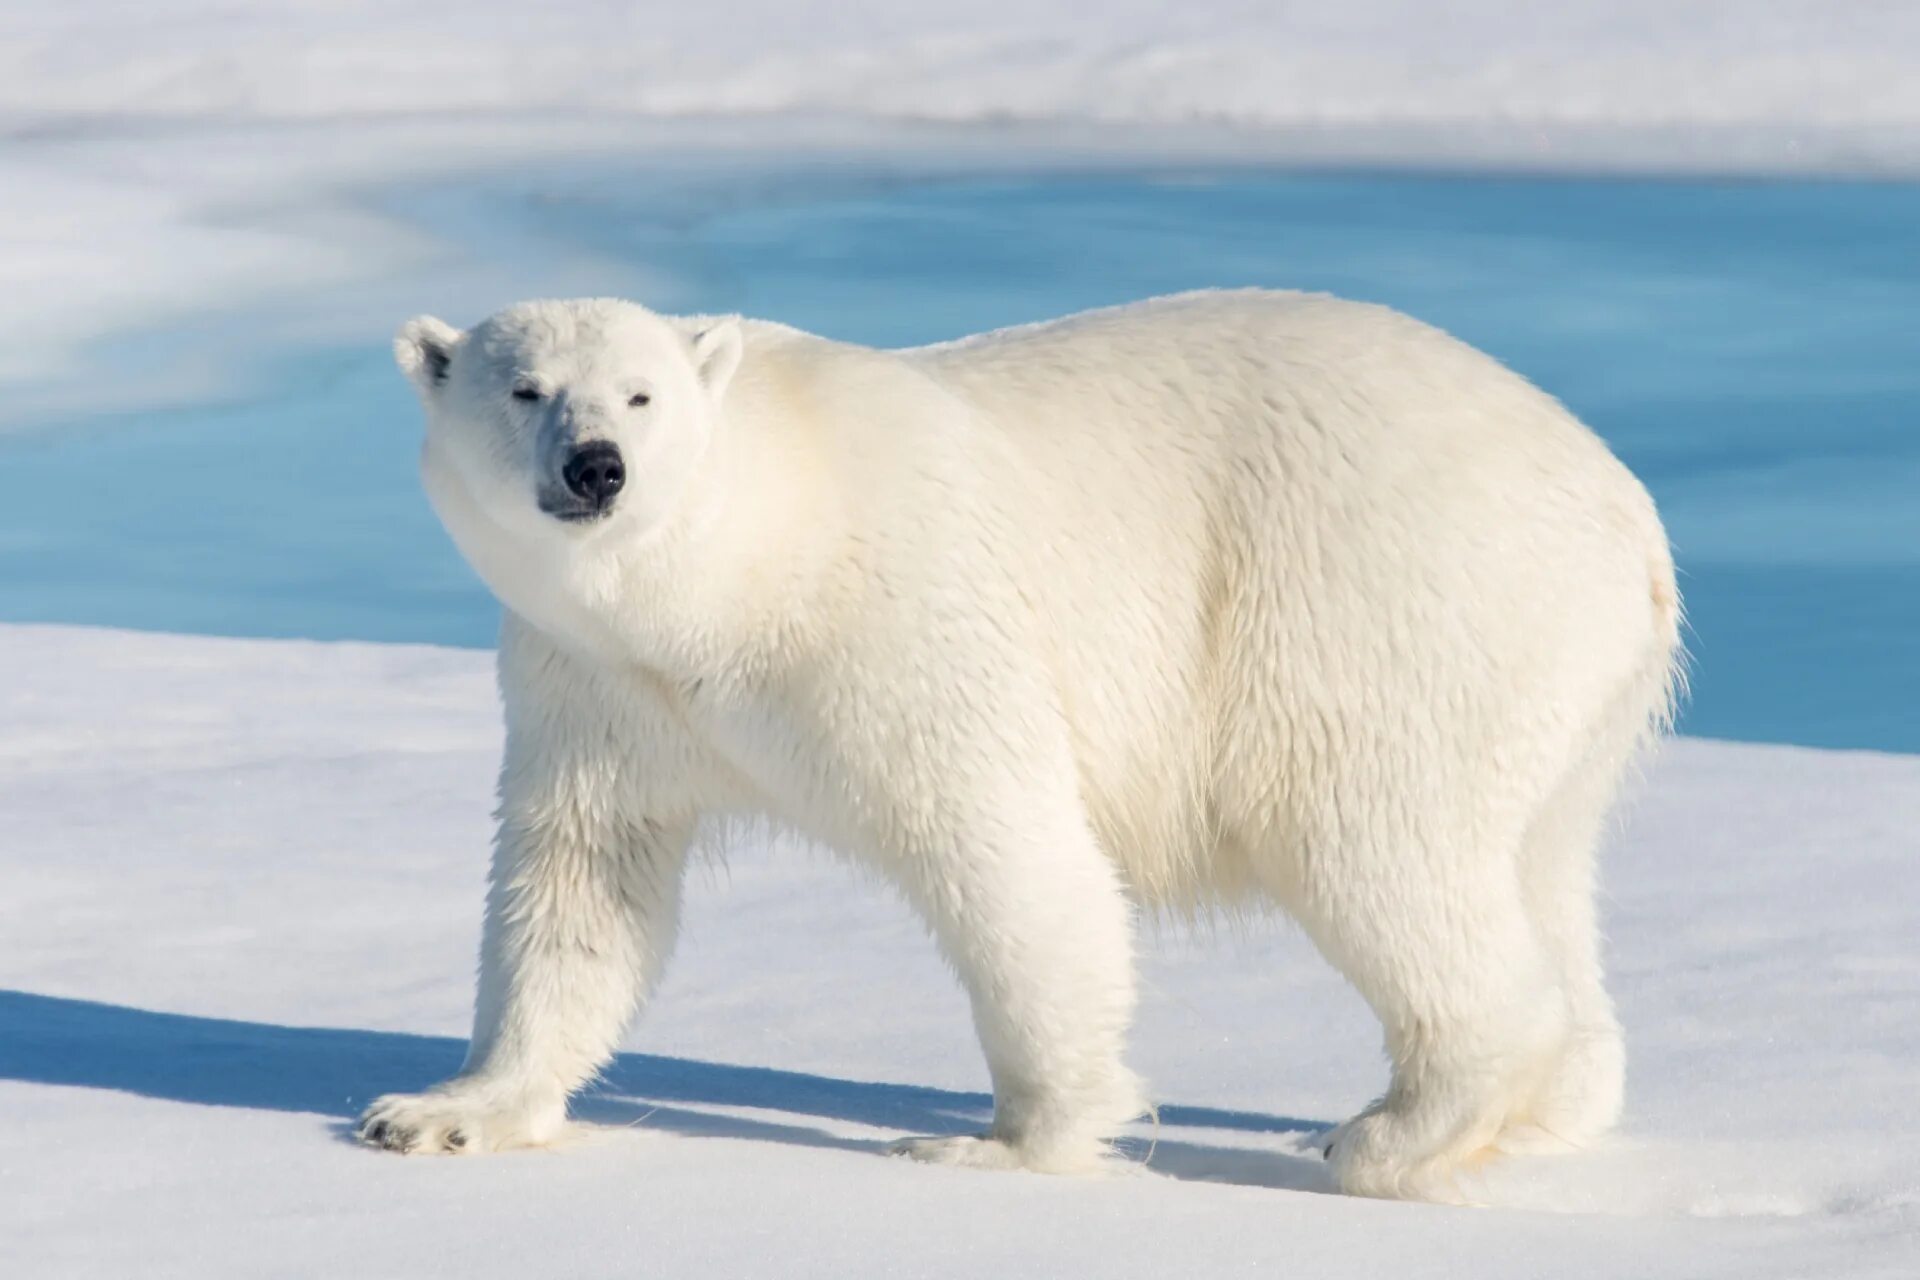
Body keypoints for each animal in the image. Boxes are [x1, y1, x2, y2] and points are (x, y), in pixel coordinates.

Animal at [360, 289, 1681, 1205]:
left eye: (641, 395)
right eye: (525, 388)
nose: (597, 468)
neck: (736, 571)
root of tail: (1628, 511)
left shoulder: (899, 618)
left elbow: (1006, 849)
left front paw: (1000, 1141)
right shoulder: (597, 683)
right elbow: (581, 880)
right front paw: (440, 1110)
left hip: (1383, 603)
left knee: (1374, 844)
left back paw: (1391, 1129)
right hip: (1561, 686)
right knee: (1539, 862)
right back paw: (1550, 1105)